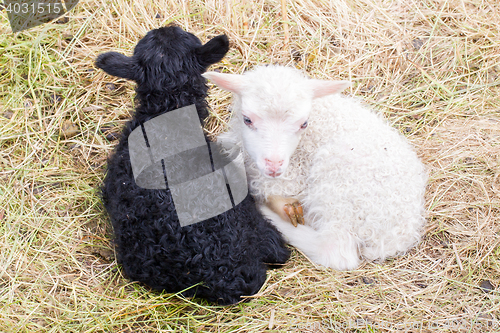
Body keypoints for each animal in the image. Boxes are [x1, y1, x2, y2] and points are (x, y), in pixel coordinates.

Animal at [203, 65, 426, 270]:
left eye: (303, 124)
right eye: (247, 119)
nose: (274, 166)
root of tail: (395, 237)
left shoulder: (285, 178)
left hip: (339, 188)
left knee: (335, 249)